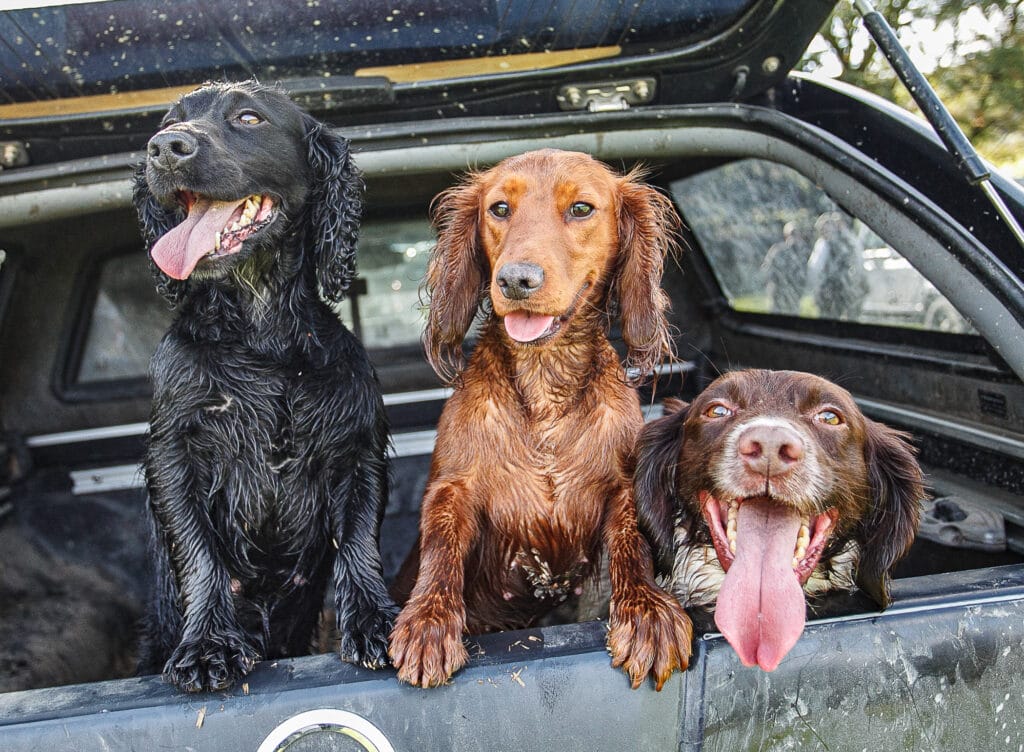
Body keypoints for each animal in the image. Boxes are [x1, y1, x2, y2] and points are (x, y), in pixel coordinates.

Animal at [133, 82, 395, 696]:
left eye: (249, 118)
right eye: (167, 122)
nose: (165, 148)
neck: (261, 330)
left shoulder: (357, 447)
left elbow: (358, 541)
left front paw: (375, 621)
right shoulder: (174, 455)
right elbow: (199, 553)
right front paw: (207, 645)